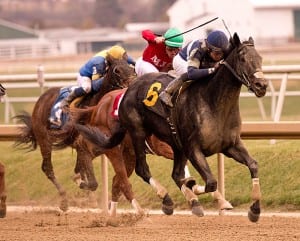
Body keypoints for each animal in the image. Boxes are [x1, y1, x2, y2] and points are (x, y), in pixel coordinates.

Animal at [14, 54, 135, 211]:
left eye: (132, 68)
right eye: (117, 70)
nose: (131, 84)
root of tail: (41, 98)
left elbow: (82, 171)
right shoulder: (83, 145)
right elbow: (87, 177)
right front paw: (85, 189)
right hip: (44, 139)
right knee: (47, 168)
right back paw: (64, 200)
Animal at [77, 32, 268, 222]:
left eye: (260, 58)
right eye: (242, 58)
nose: (262, 85)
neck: (214, 103)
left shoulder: (231, 145)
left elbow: (253, 165)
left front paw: (255, 210)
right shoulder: (193, 149)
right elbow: (210, 182)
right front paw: (197, 188)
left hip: (164, 148)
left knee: (140, 179)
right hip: (135, 136)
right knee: (140, 171)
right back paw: (165, 200)